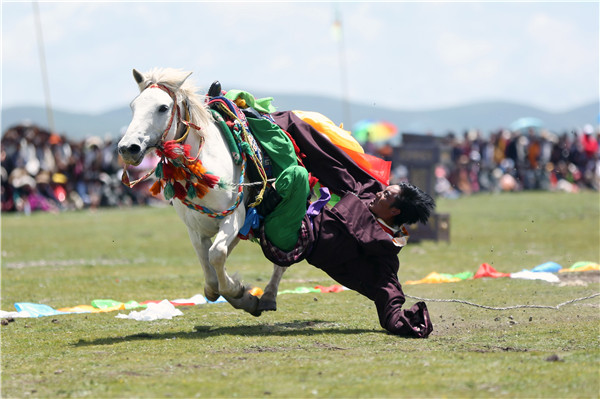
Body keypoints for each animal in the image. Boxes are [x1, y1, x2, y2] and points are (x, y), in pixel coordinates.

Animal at [119, 69, 286, 318]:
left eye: (163, 107)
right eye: (133, 106)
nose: (128, 148)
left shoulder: (234, 216)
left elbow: (216, 254)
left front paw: (238, 291)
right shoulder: (195, 227)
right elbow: (208, 268)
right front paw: (239, 294)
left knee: (282, 258)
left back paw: (267, 296)